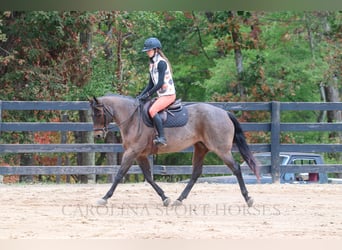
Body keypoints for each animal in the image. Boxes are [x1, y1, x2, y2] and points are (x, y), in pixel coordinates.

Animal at [89, 94, 260, 207]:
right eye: (92, 114)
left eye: (98, 113)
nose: (97, 135)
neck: (132, 119)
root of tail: (224, 112)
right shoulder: (140, 155)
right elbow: (149, 177)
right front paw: (165, 197)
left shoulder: (132, 152)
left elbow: (119, 175)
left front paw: (104, 198)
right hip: (200, 148)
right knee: (196, 173)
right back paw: (179, 199)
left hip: (221, 150)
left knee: (236, 168)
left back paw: (248, 198)